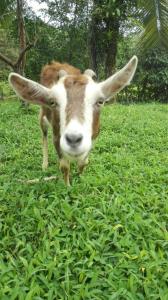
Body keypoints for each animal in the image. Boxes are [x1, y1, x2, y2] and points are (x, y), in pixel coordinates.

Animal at [8, 55, 138, 184]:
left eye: (100, 101)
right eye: (52, 102)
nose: (73, 139)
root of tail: (54, 63)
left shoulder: (93, 138)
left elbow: (83, 162)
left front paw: (80, 178)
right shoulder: (57, 136)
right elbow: (64, 166)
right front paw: (68, 185)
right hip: (43, 116)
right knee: (44, 134)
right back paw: (45, 164)